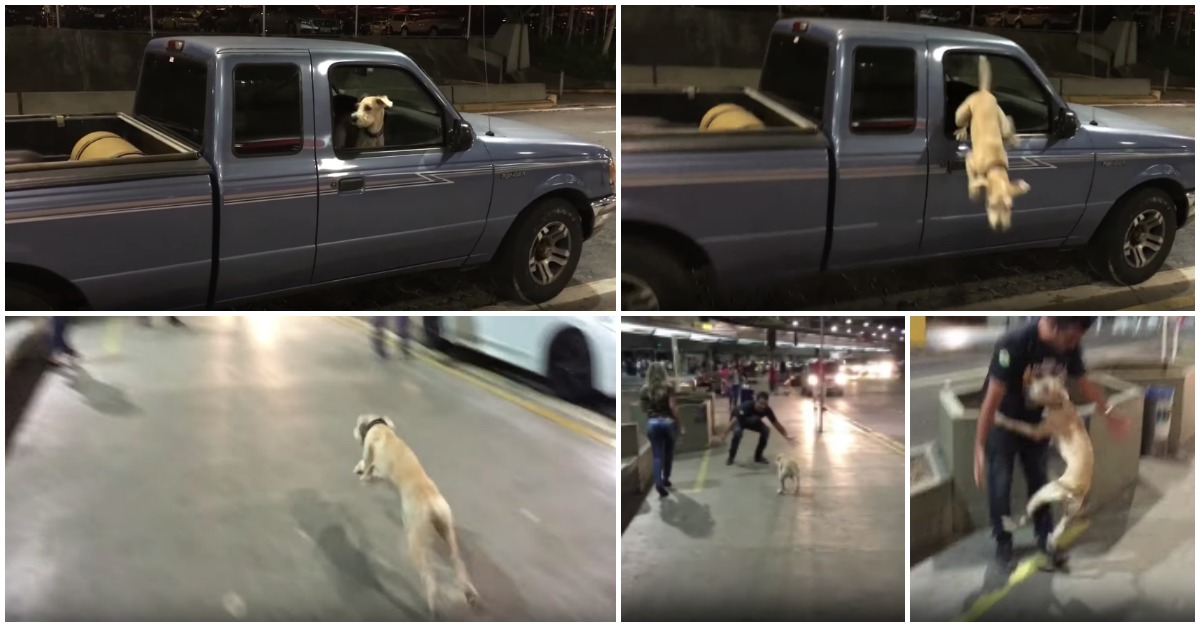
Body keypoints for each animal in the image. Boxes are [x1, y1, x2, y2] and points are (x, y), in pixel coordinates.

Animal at [350, 413, 477, 612]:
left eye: (358, 424)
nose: (354, 430)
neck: (381, 428)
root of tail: (432, 503)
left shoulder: (371, 460)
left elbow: (367, 469)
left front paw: (360, 470)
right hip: (447, 532)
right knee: (458, 563)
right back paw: (468, 590)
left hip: (416, 539)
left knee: (428, 574)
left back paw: (432, 599)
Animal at [955, 55, 1032, 231]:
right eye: (990, 205)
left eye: (1010, 208)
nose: (999, 227)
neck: (995, 166)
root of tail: (984, 92)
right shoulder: (970, 158)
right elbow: (973, 177)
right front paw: (974, 190)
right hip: (962, 112)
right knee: (964, 122)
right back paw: (962, 131)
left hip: (1000, 119)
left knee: (1009, 120)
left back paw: (1013, 138)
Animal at [988, 372, 1094, 554]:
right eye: (1040, 378)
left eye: (1045, 387)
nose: (1027, 389)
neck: (1060, 404)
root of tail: (1076, 488)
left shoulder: (1036, 431)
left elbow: (1019, 424)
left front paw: (1002, 419)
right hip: (1068, 509)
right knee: (1060, 527)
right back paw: (1051, 540)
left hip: (1042, 493)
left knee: (1026, 516)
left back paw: (1010, 524)